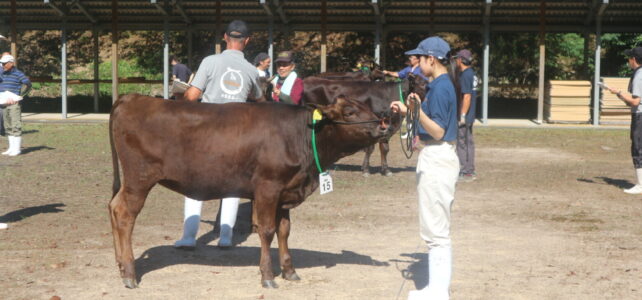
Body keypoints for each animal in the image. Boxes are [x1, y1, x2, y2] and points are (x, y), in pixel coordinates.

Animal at [107, 93, 388, 288]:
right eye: (350, 111)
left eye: (367, 107)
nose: (383, 126)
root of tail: (132, 98)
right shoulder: (268, 188)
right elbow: (267, 231)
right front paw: (268, 276)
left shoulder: (285, 192)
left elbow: (285, 231)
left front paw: (289, 271)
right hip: (139, 179)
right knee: (124, 214)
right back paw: (130, 273)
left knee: (113, 207)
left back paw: (120, 265)